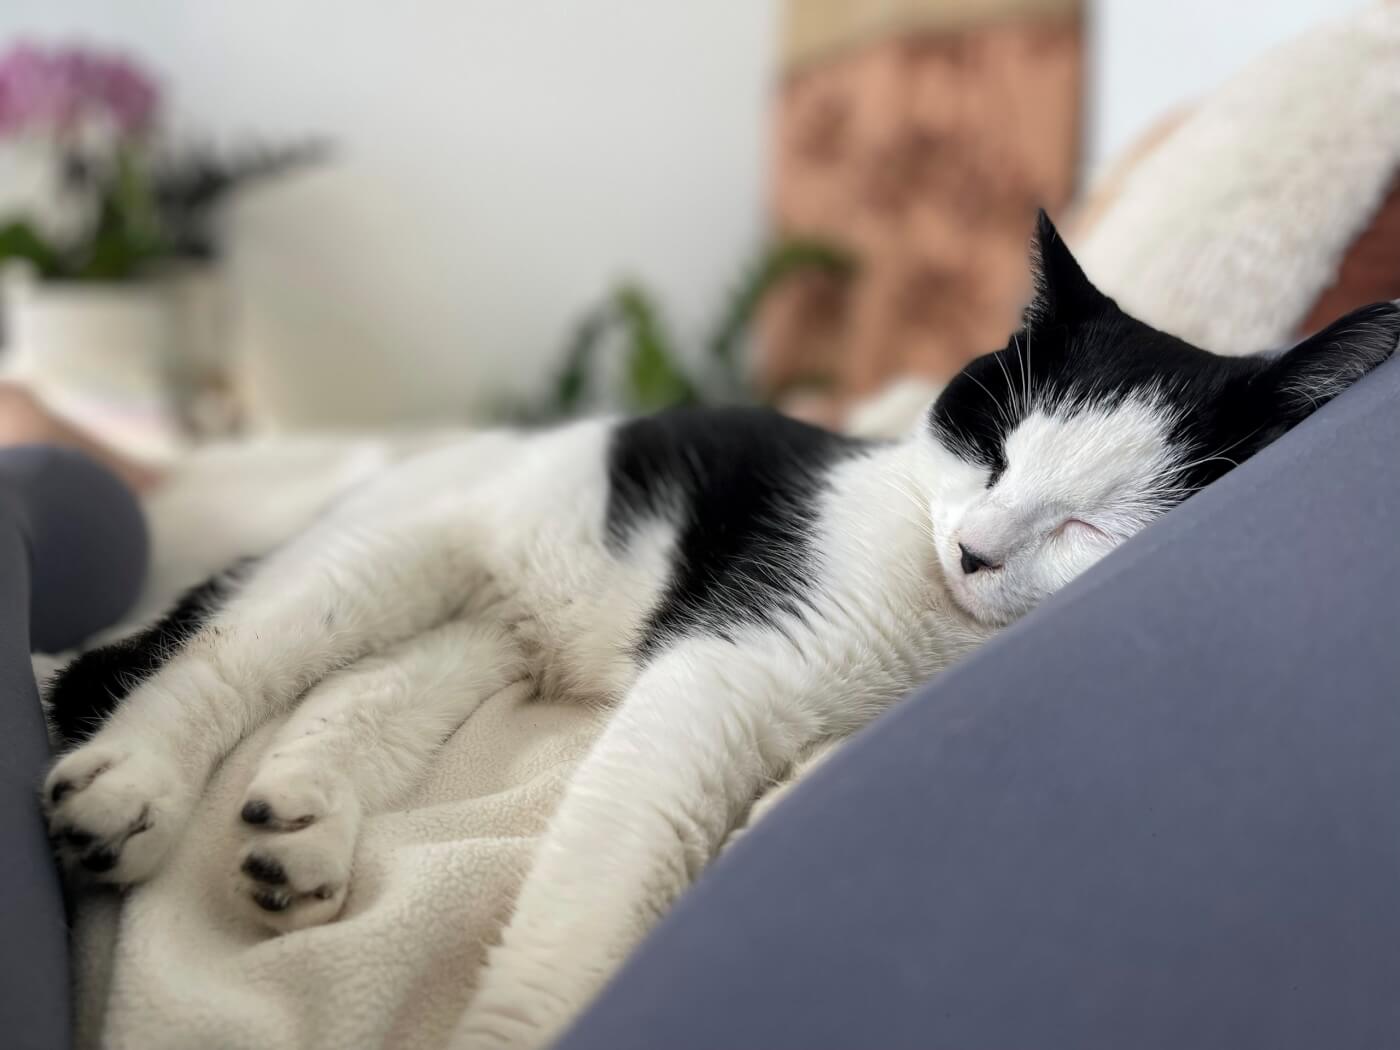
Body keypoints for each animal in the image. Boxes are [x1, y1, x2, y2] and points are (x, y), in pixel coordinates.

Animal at [38, 210, 1394, 1047]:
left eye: (1092, 527)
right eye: (994, 446)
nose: (972, 550)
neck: (935, 626)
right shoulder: (727, 665)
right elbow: (602, 874)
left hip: (480, 631)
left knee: (364, 691)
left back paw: (297, 828)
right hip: (395, 552)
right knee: (224, 651)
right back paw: (126, 788)